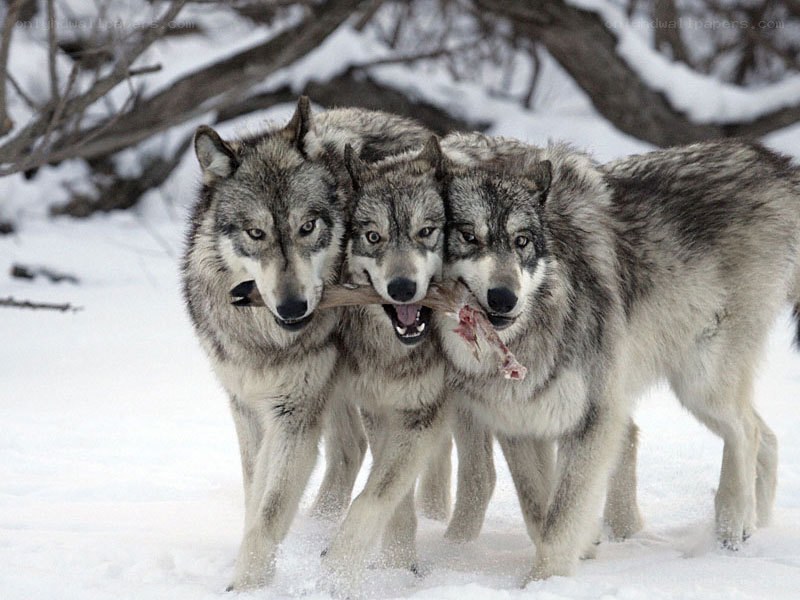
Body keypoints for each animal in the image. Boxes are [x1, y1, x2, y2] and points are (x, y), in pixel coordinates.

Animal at [181, 97, 432, 590]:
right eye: (256, 233)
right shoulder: (248, 405)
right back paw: (320, 527)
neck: (269, 342)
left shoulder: (295, 413)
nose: (294, 306)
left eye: (308, 226)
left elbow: (269, 511)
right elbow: (255, 495)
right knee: (351, 452)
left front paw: (247, 588)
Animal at [319, 137, 452, 591]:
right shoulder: (381, 409)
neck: (399, 354)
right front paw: (399, 564)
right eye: (373, 237)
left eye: (425, 232)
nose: (402, 287)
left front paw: (336, 573)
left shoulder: (421, 416)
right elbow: (392, 498)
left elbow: (371, 500)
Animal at [432, 133, 798, 582]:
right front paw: (580, 549)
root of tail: (773, 162)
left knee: (746, 431)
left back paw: (731, 527)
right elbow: (539, 507)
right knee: (767, 435)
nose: (505, 297)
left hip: (701, 382)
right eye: (468, 236)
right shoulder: (517, 422)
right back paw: (755, 524)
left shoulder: (595, 417)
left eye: (522, 241)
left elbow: (560, 518)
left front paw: (543, 583)